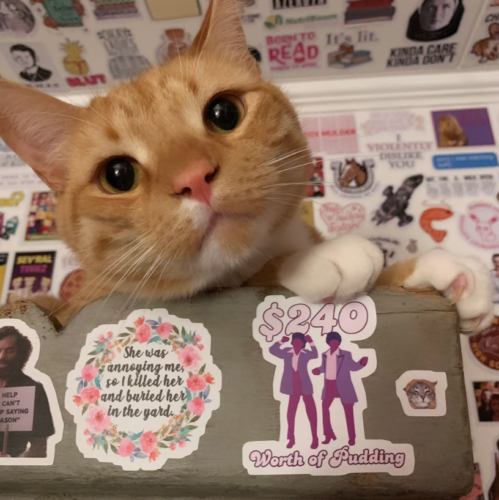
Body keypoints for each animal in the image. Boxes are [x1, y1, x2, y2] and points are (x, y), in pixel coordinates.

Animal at [0, 0, 494, 332]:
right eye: (118, 175)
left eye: (224, 113)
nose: (194, 179)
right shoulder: (78, 308)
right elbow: (255, 276)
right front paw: (319, 258)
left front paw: (438, 271)